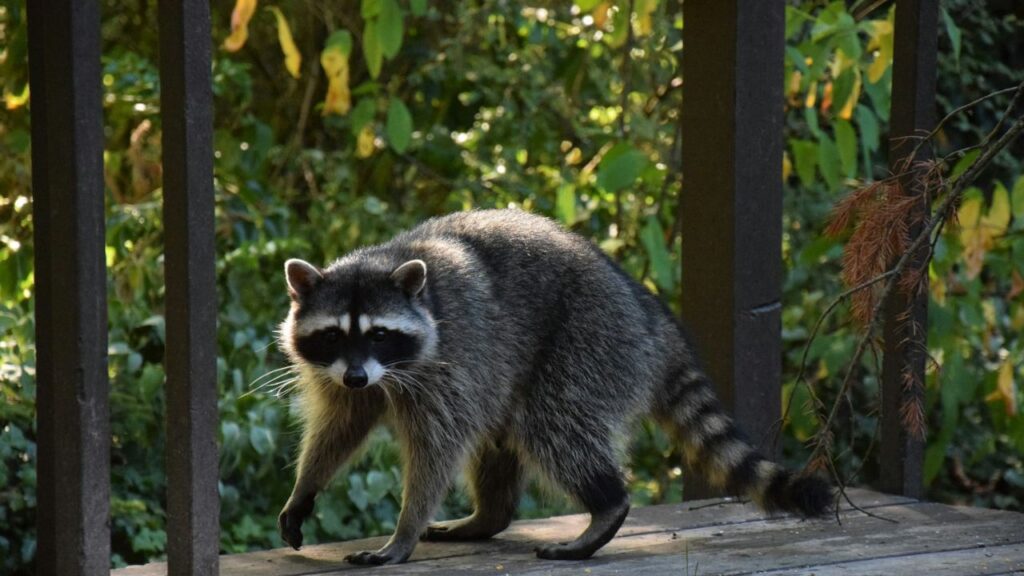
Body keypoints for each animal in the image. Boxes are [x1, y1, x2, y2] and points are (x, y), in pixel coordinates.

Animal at [276, 209, 831, 565]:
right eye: (332, 335)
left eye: (379, 334)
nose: (356, 376)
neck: (388, 258)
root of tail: (649, 314)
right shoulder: (348, 375)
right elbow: (340, 427)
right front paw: (305, 487)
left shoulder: (451, 360)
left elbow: (437, 447)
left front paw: (404, 530)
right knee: (502, 437)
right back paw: (489, 516)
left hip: (589, 341)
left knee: (552, 427)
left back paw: (606, 505)